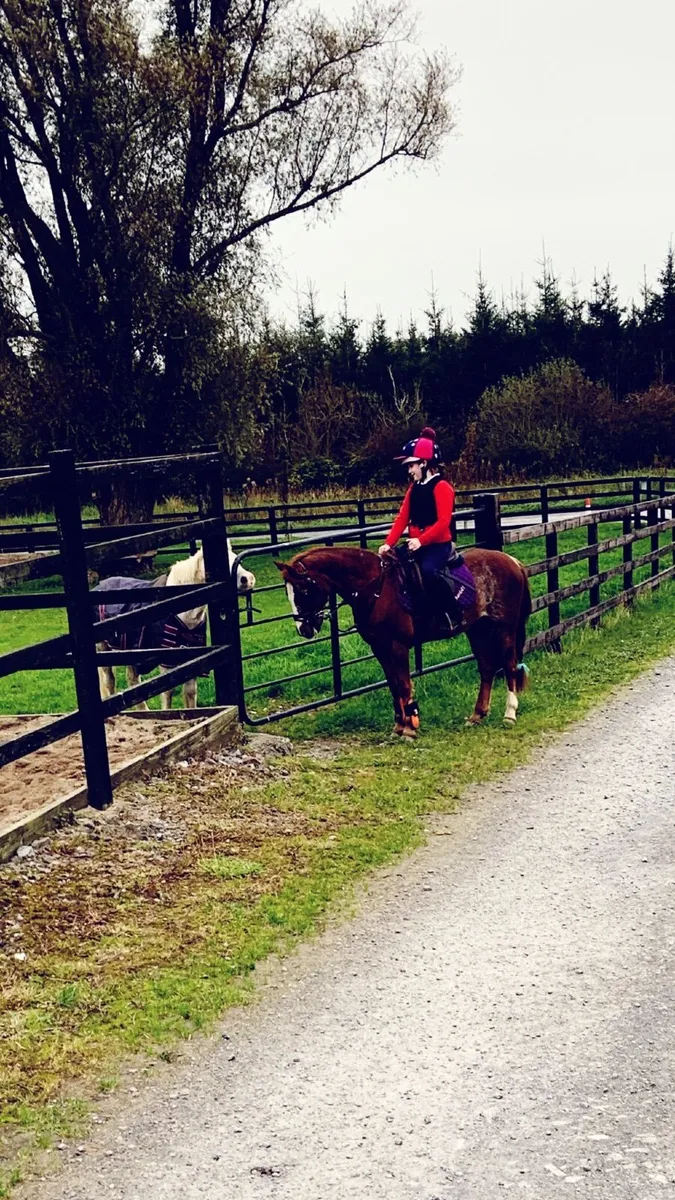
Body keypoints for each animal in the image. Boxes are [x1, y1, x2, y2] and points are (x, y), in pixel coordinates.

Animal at [95, 540, 255, 710]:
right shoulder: (166, 660)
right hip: (103, 650)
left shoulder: (191, 656)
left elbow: (190, 691)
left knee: (132, 680)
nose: (248, 579)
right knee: (109, 681)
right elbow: (168, 690)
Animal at [276, 545, 531, 737]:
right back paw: (477, 715)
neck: (376, 588)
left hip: (504, 629)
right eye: (287, 593)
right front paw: (398, 726)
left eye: (303, 589)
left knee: (509, 666)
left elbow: (404, 685)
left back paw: (509, 714)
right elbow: (393, 685)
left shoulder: (397, 646)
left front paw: (409, 729)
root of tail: (512, 561)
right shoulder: (379, 648)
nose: (304, 629)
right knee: (486, 668)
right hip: (477, 629)